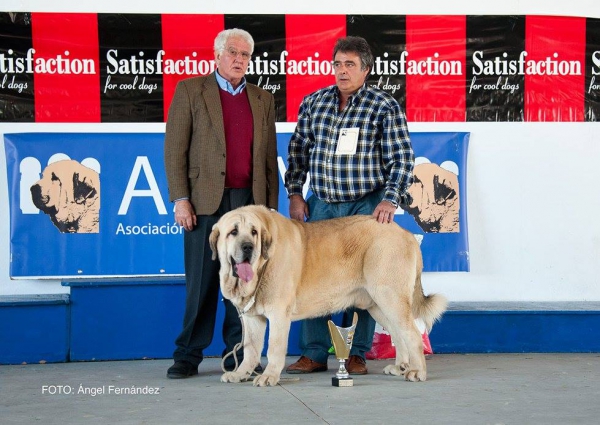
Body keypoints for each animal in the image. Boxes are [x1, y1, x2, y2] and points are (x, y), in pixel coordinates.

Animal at [209, 204, 448, 386]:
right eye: (233, 232)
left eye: (254, 232)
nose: (248, 247)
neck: (261, 266)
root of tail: (405, 233)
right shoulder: (252, 318)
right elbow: (250, 350)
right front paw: (240, 374)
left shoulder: (278, 314)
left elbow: (274, 348)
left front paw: (269, 376)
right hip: (378, 304)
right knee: (398, 334)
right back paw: (400, 366)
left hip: (390, 297)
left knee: (412, 334)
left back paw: (417, 372)